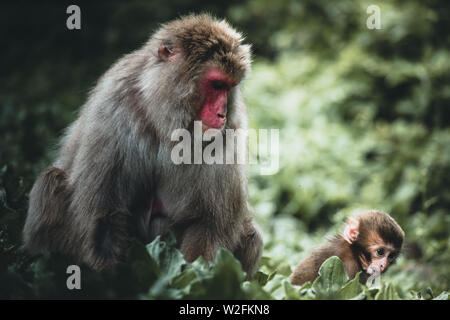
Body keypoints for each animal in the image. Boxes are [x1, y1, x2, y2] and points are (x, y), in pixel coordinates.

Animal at [23, 14, 264, 278]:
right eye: (217, 85)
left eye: (230, 86)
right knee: (51, 180)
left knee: (251, 234)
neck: (165, 119)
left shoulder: (230, 130)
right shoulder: (114, 105)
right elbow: (104, 217)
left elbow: (208, 224)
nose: (222, 113)